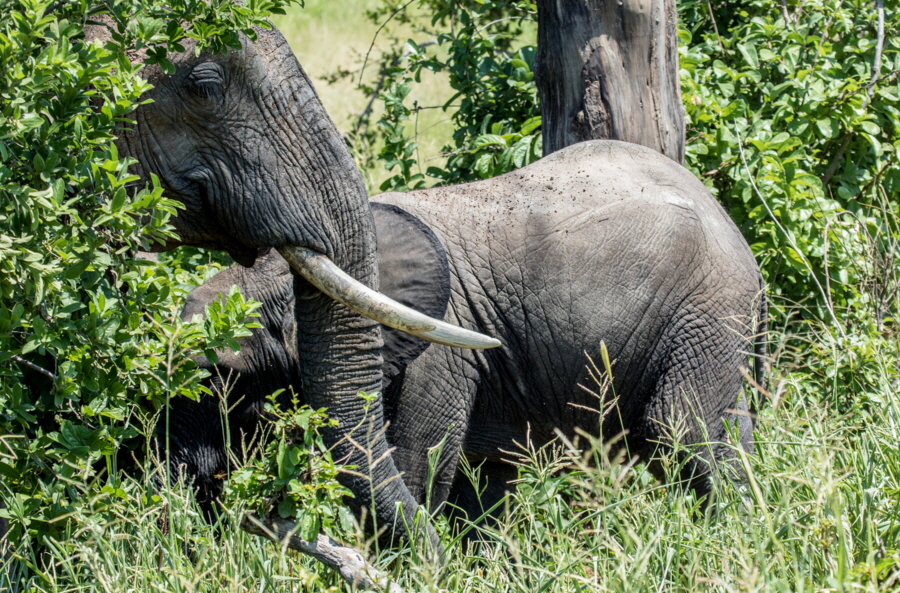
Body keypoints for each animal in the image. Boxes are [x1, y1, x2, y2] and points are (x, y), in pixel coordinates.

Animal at [88, 18, 768, 552]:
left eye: (223, 383)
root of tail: (735, 233)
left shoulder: (440, 360)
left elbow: (419, 466)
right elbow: (473, 485)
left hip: (707, 306)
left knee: (680, 430)